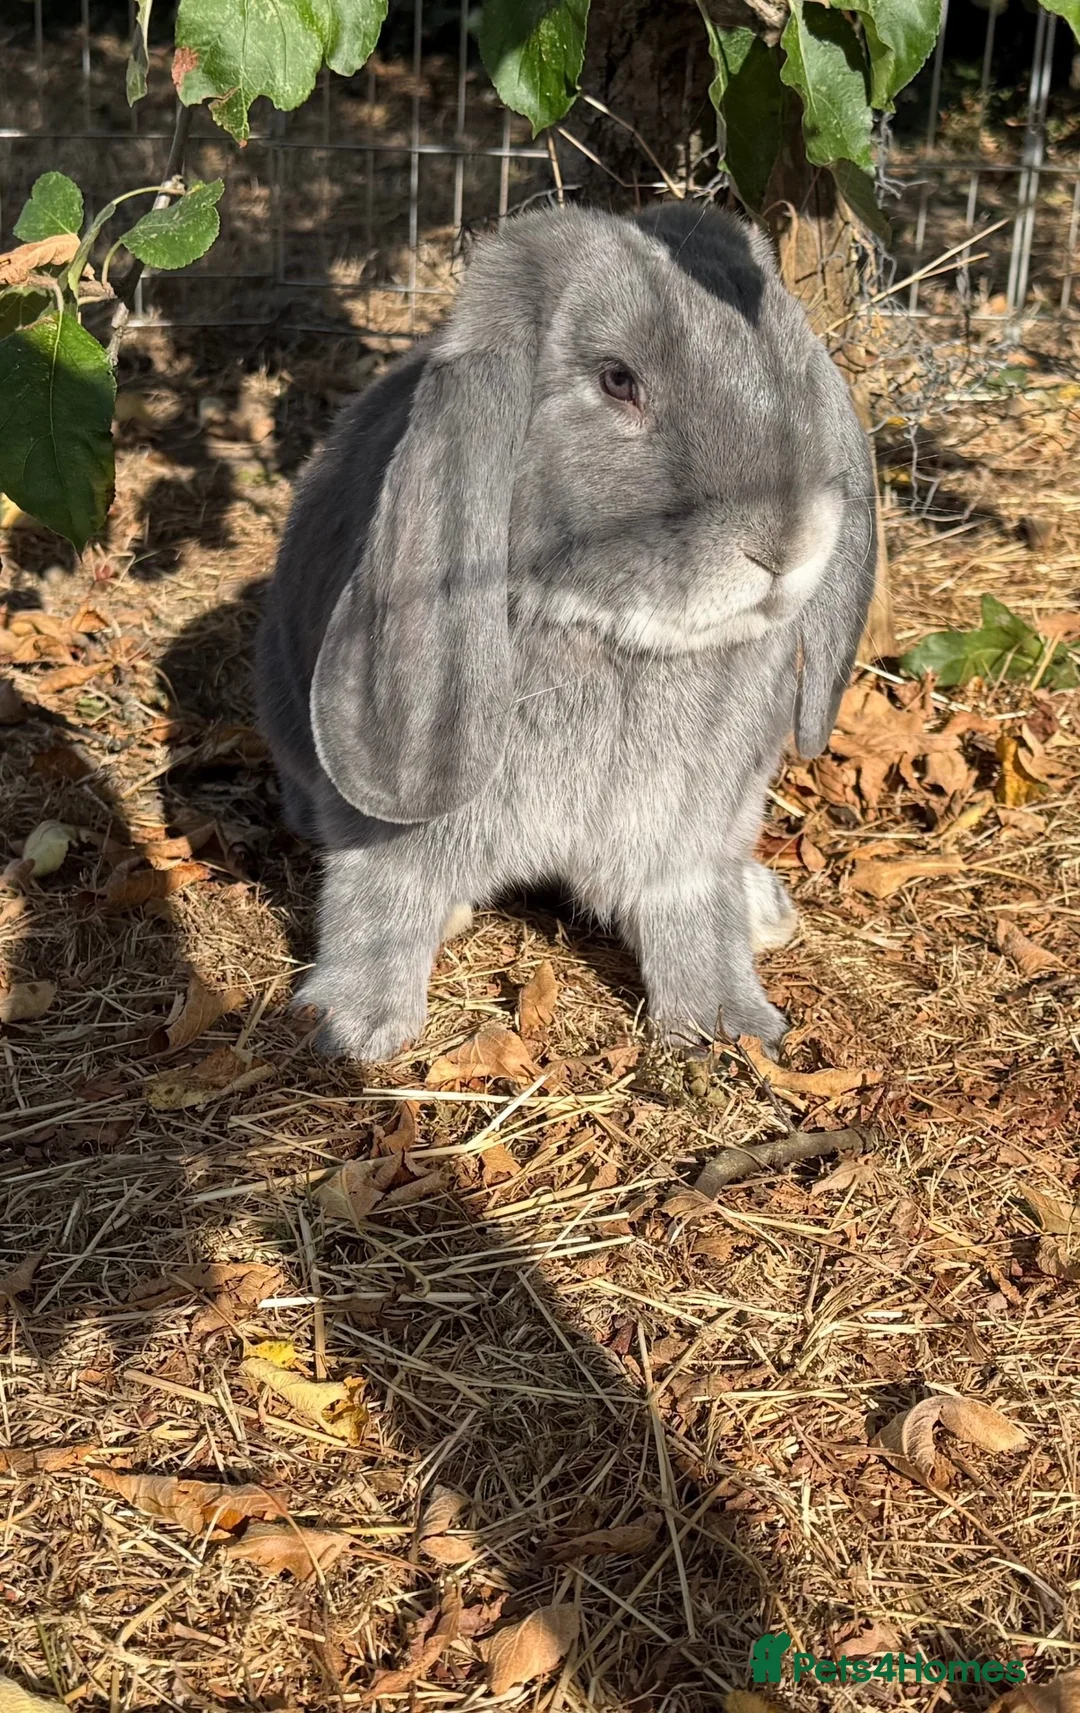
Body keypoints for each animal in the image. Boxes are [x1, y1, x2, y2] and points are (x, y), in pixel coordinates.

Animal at [257, 201, 876, 1063]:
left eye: (791, 362)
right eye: (618, 380)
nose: (785, 543)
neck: (610, 636)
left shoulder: (685, 834)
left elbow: (693, 916)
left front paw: (729, 1025)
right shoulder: (389, 839)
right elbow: (381, 900)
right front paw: (350, 1026)